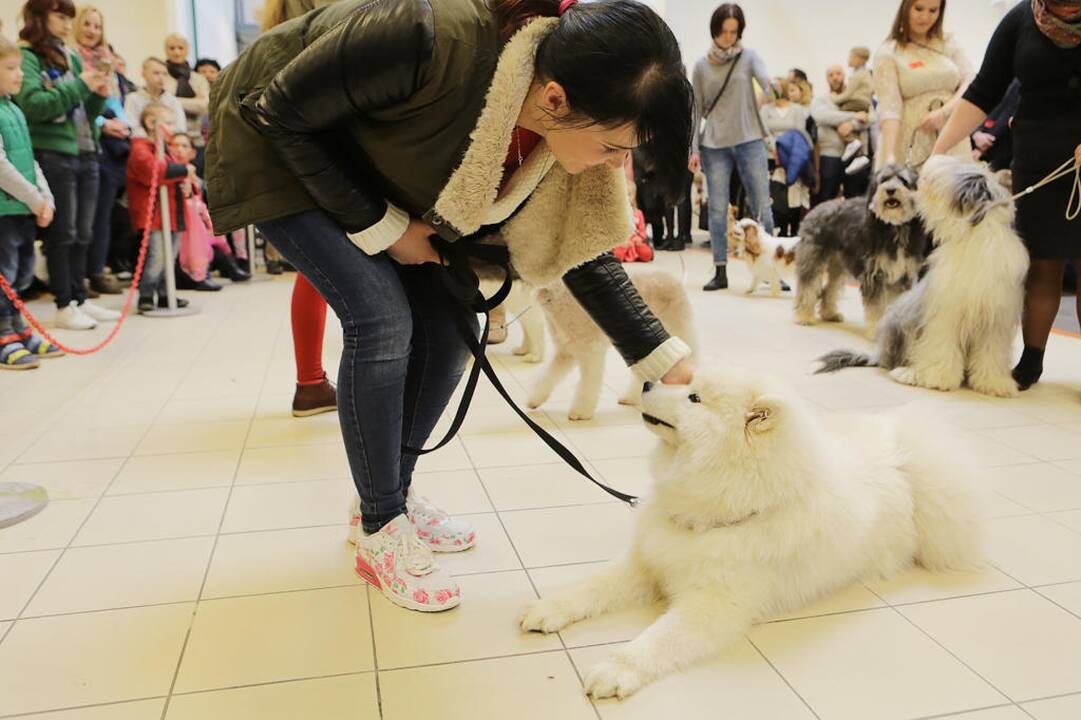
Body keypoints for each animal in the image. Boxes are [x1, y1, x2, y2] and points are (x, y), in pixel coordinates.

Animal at [518, 365, 985, 696]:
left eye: (693, 397)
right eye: (689, 383)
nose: (648, 381)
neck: (719, 513)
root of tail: (902, 455)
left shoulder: (713, 606)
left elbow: (657, 640)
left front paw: (616, 669)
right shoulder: (648, 561)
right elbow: (591, 586)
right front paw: (548, 608)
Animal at [525, 265, 696, 417]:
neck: (556, 294)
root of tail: (677, 280)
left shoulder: (590, 352)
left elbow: (588, 384)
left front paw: (580, 412)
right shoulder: (565, 352)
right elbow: (548, 376)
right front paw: (534, 400)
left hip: (677, 329)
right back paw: (631, 398)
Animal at [791, 164, 933, 337]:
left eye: (903, 180)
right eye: (884, 180)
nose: (890, 190)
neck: (895, 227)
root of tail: (817, 208)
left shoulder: (903, 276)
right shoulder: (874, 274)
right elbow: (876, 307)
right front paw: (877, 329)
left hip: (839, 266)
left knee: (830, 289)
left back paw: (830, 313)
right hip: (812, 260)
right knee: (807, 287)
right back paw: (804, 315)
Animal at [817, 153, 1029, 395]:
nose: (932, 161)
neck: (976, 234)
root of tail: (878, 353)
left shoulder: (996, 318)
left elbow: (991, 352)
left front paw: (994, 383)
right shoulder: (945, 311)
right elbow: (941, 345)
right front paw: (937, 376)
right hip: (901, 319)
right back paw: (907, 373)